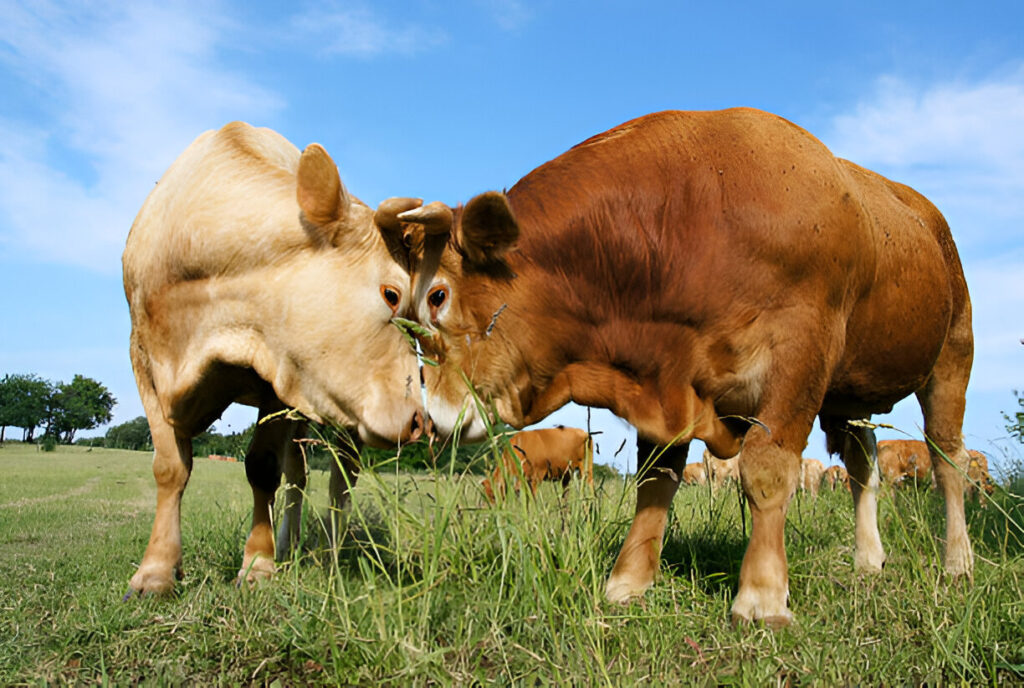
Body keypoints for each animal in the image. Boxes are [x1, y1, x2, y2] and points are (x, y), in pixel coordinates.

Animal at [121, 122, 425, 597]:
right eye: (391, 294)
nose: (418, 420)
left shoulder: (275, 379)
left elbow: (262, 468)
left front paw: (257, 564)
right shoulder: (143, 358)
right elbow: (170, 468)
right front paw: (156, 570)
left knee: (341, 479)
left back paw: (330, 553)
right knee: (299, 475)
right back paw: (290, 545)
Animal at [393, 109, 974, 630]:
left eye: (439, 297)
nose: (431, 417)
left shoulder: (799, 357)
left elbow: (766, 471)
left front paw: (762, 596)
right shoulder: (667, 379)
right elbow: (654, 483)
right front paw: (628, 582)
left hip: (952, 358)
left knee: (947, 461)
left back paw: (958, 562)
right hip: (850, 396)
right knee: (862, 465)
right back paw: (868, 560)